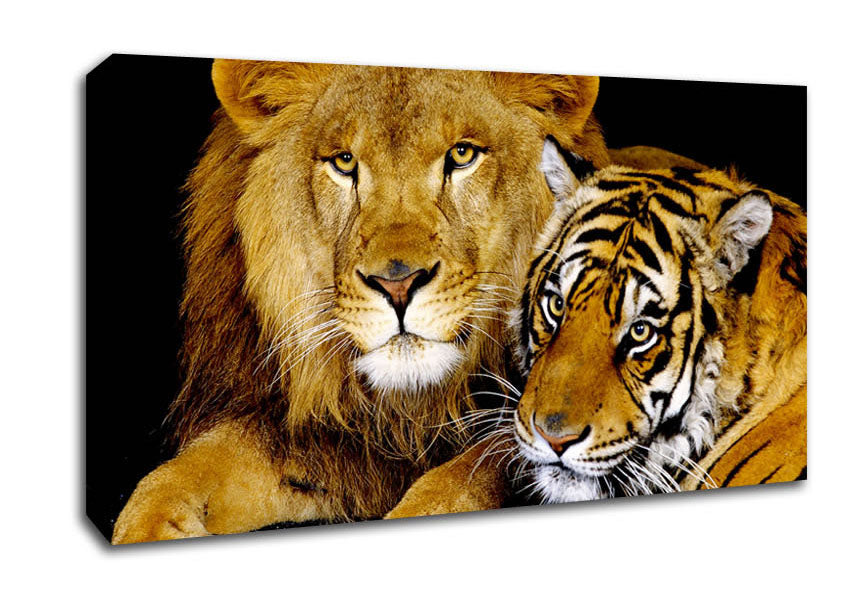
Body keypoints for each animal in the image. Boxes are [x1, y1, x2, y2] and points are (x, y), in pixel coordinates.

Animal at [111, 60, 616, 543]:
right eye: (344, 161)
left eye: (462, 154)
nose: (397, 284)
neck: (408, 409)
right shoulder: (314, 439)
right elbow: (176, 476)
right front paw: (147, 527)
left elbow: (463, 480)